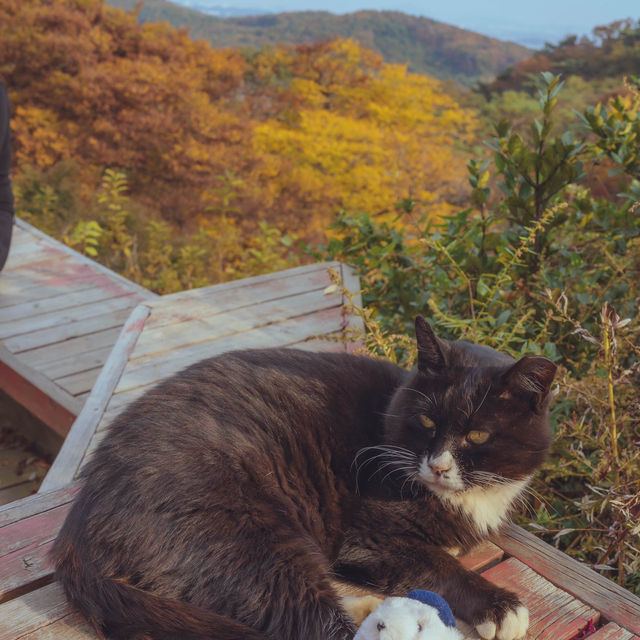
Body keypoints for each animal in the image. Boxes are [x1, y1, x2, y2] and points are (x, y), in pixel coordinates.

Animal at [53, 316, 556, 640]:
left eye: (478, 434)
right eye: (427, 420)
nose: (437, 465)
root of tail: (78, 532)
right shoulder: (368, 535)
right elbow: (437, 562)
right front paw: (500, 606)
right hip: (249, 534)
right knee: (306, 620)